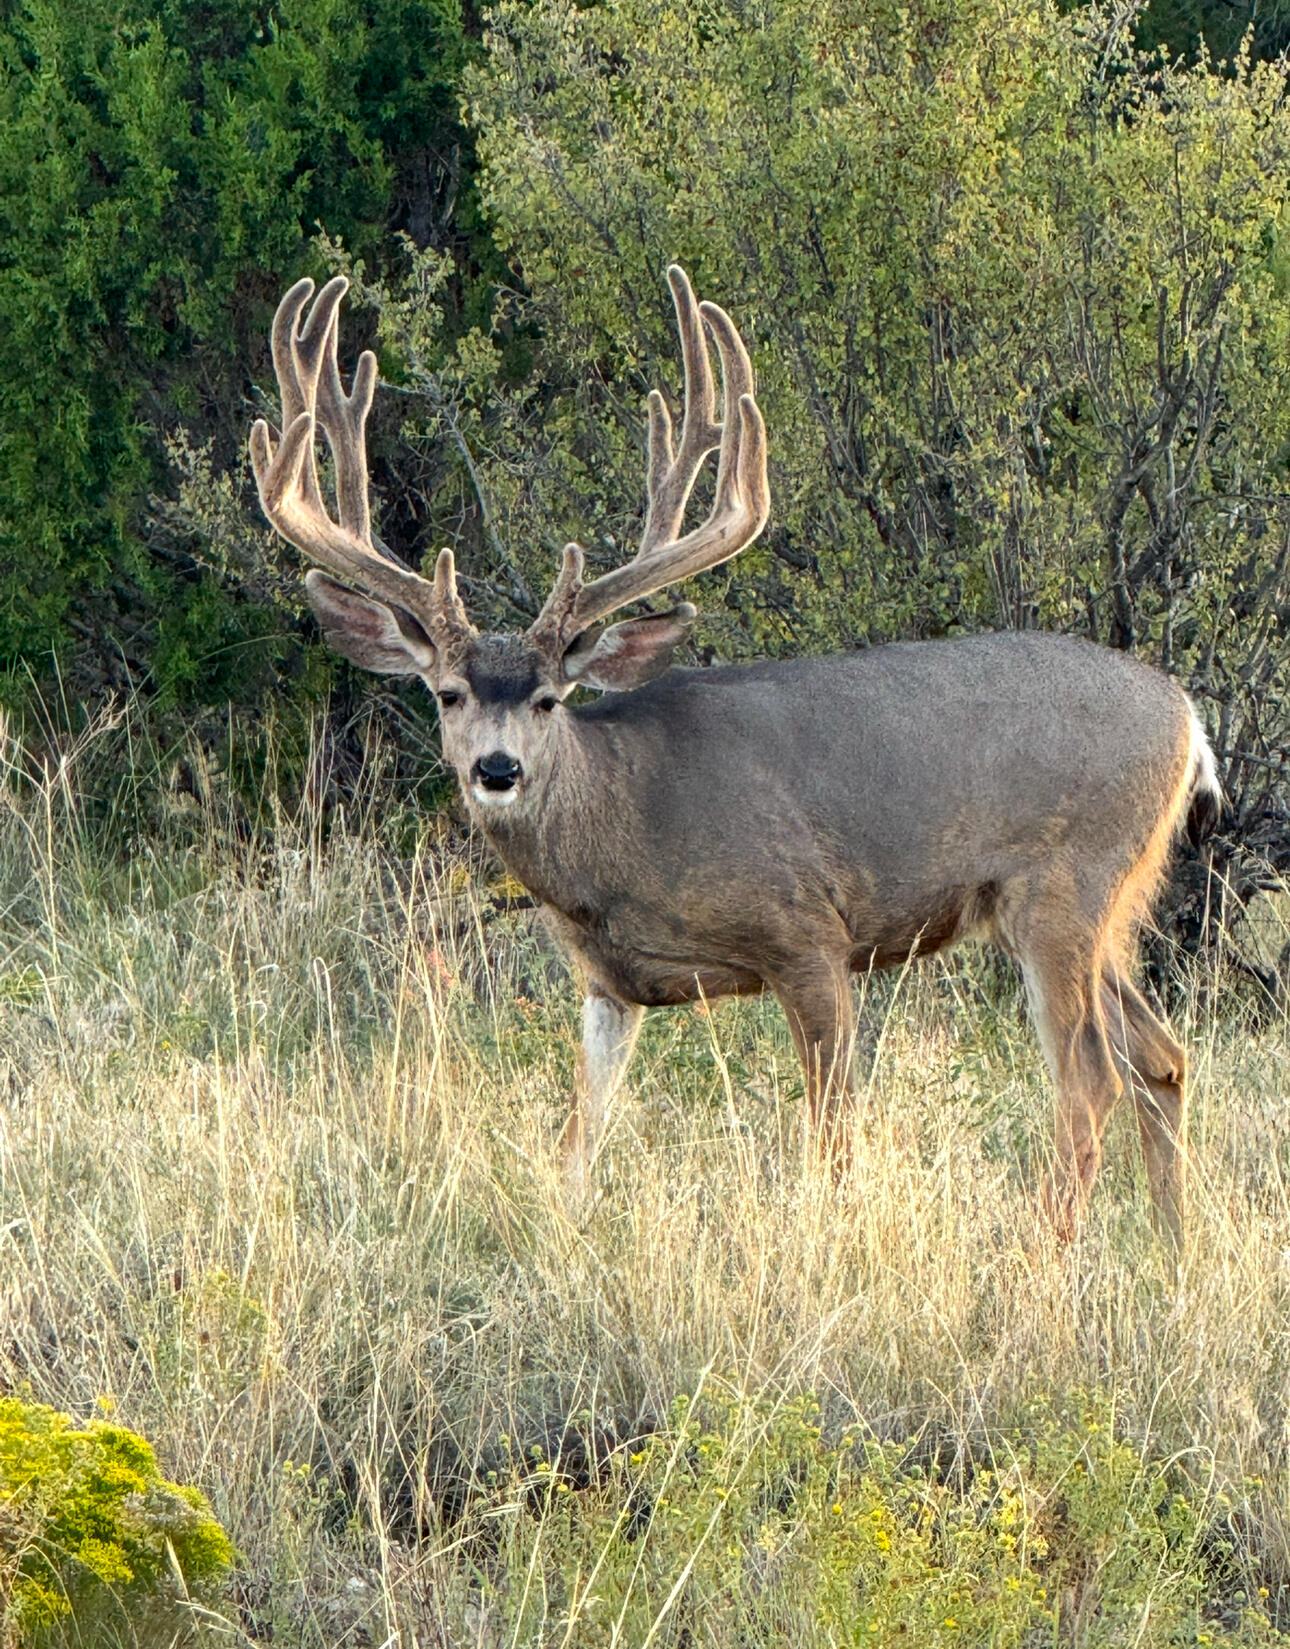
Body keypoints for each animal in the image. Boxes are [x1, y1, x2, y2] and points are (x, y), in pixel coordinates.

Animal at [250, 263, 1220, 1240]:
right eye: (447, 694)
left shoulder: (809, 930)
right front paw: (568, 1227)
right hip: (1110, 909)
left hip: (1063, 886)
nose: (497, 770)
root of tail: (1188, 720)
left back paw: (1048, 1247)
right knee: (1162, 1058)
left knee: (1092, 1079)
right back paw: (1172, 1250)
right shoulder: (608, 986)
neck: (626, 829)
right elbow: (578, 1139)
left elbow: (833, 1132)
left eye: (549, 698)